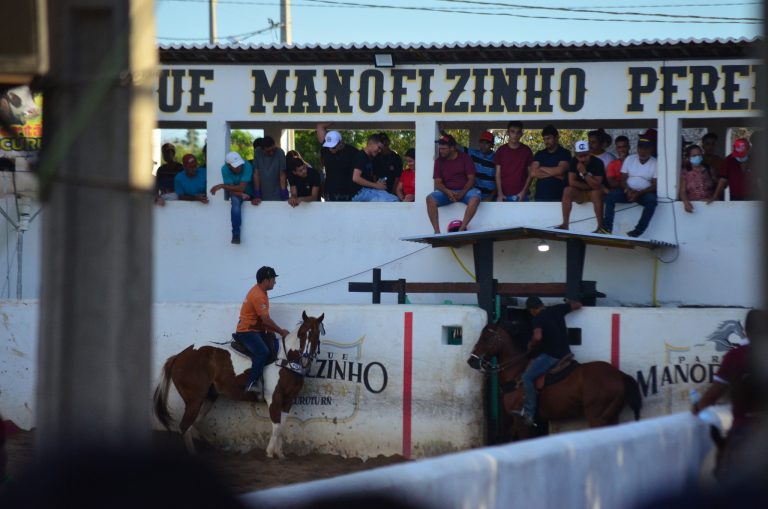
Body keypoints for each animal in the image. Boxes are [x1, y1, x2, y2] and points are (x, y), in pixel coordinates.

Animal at [153, 311, 325, 458]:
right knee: (184, 425)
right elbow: (276, 426)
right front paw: (270, 453)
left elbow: (281, 426)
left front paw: (280, 454)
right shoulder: (274, 399)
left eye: (316, 335)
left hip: (208, 397)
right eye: (301, 334)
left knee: (193, 423)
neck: (285, 361)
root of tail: (179, 356)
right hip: (194, 399)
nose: (305, 359)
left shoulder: (288, 400)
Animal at [467, 322, 642, 440]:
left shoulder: (521, 420)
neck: (517, 372)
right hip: (610, 416)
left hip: (597, 417)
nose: (471, 361)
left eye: (486, 338)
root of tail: (620, 375)